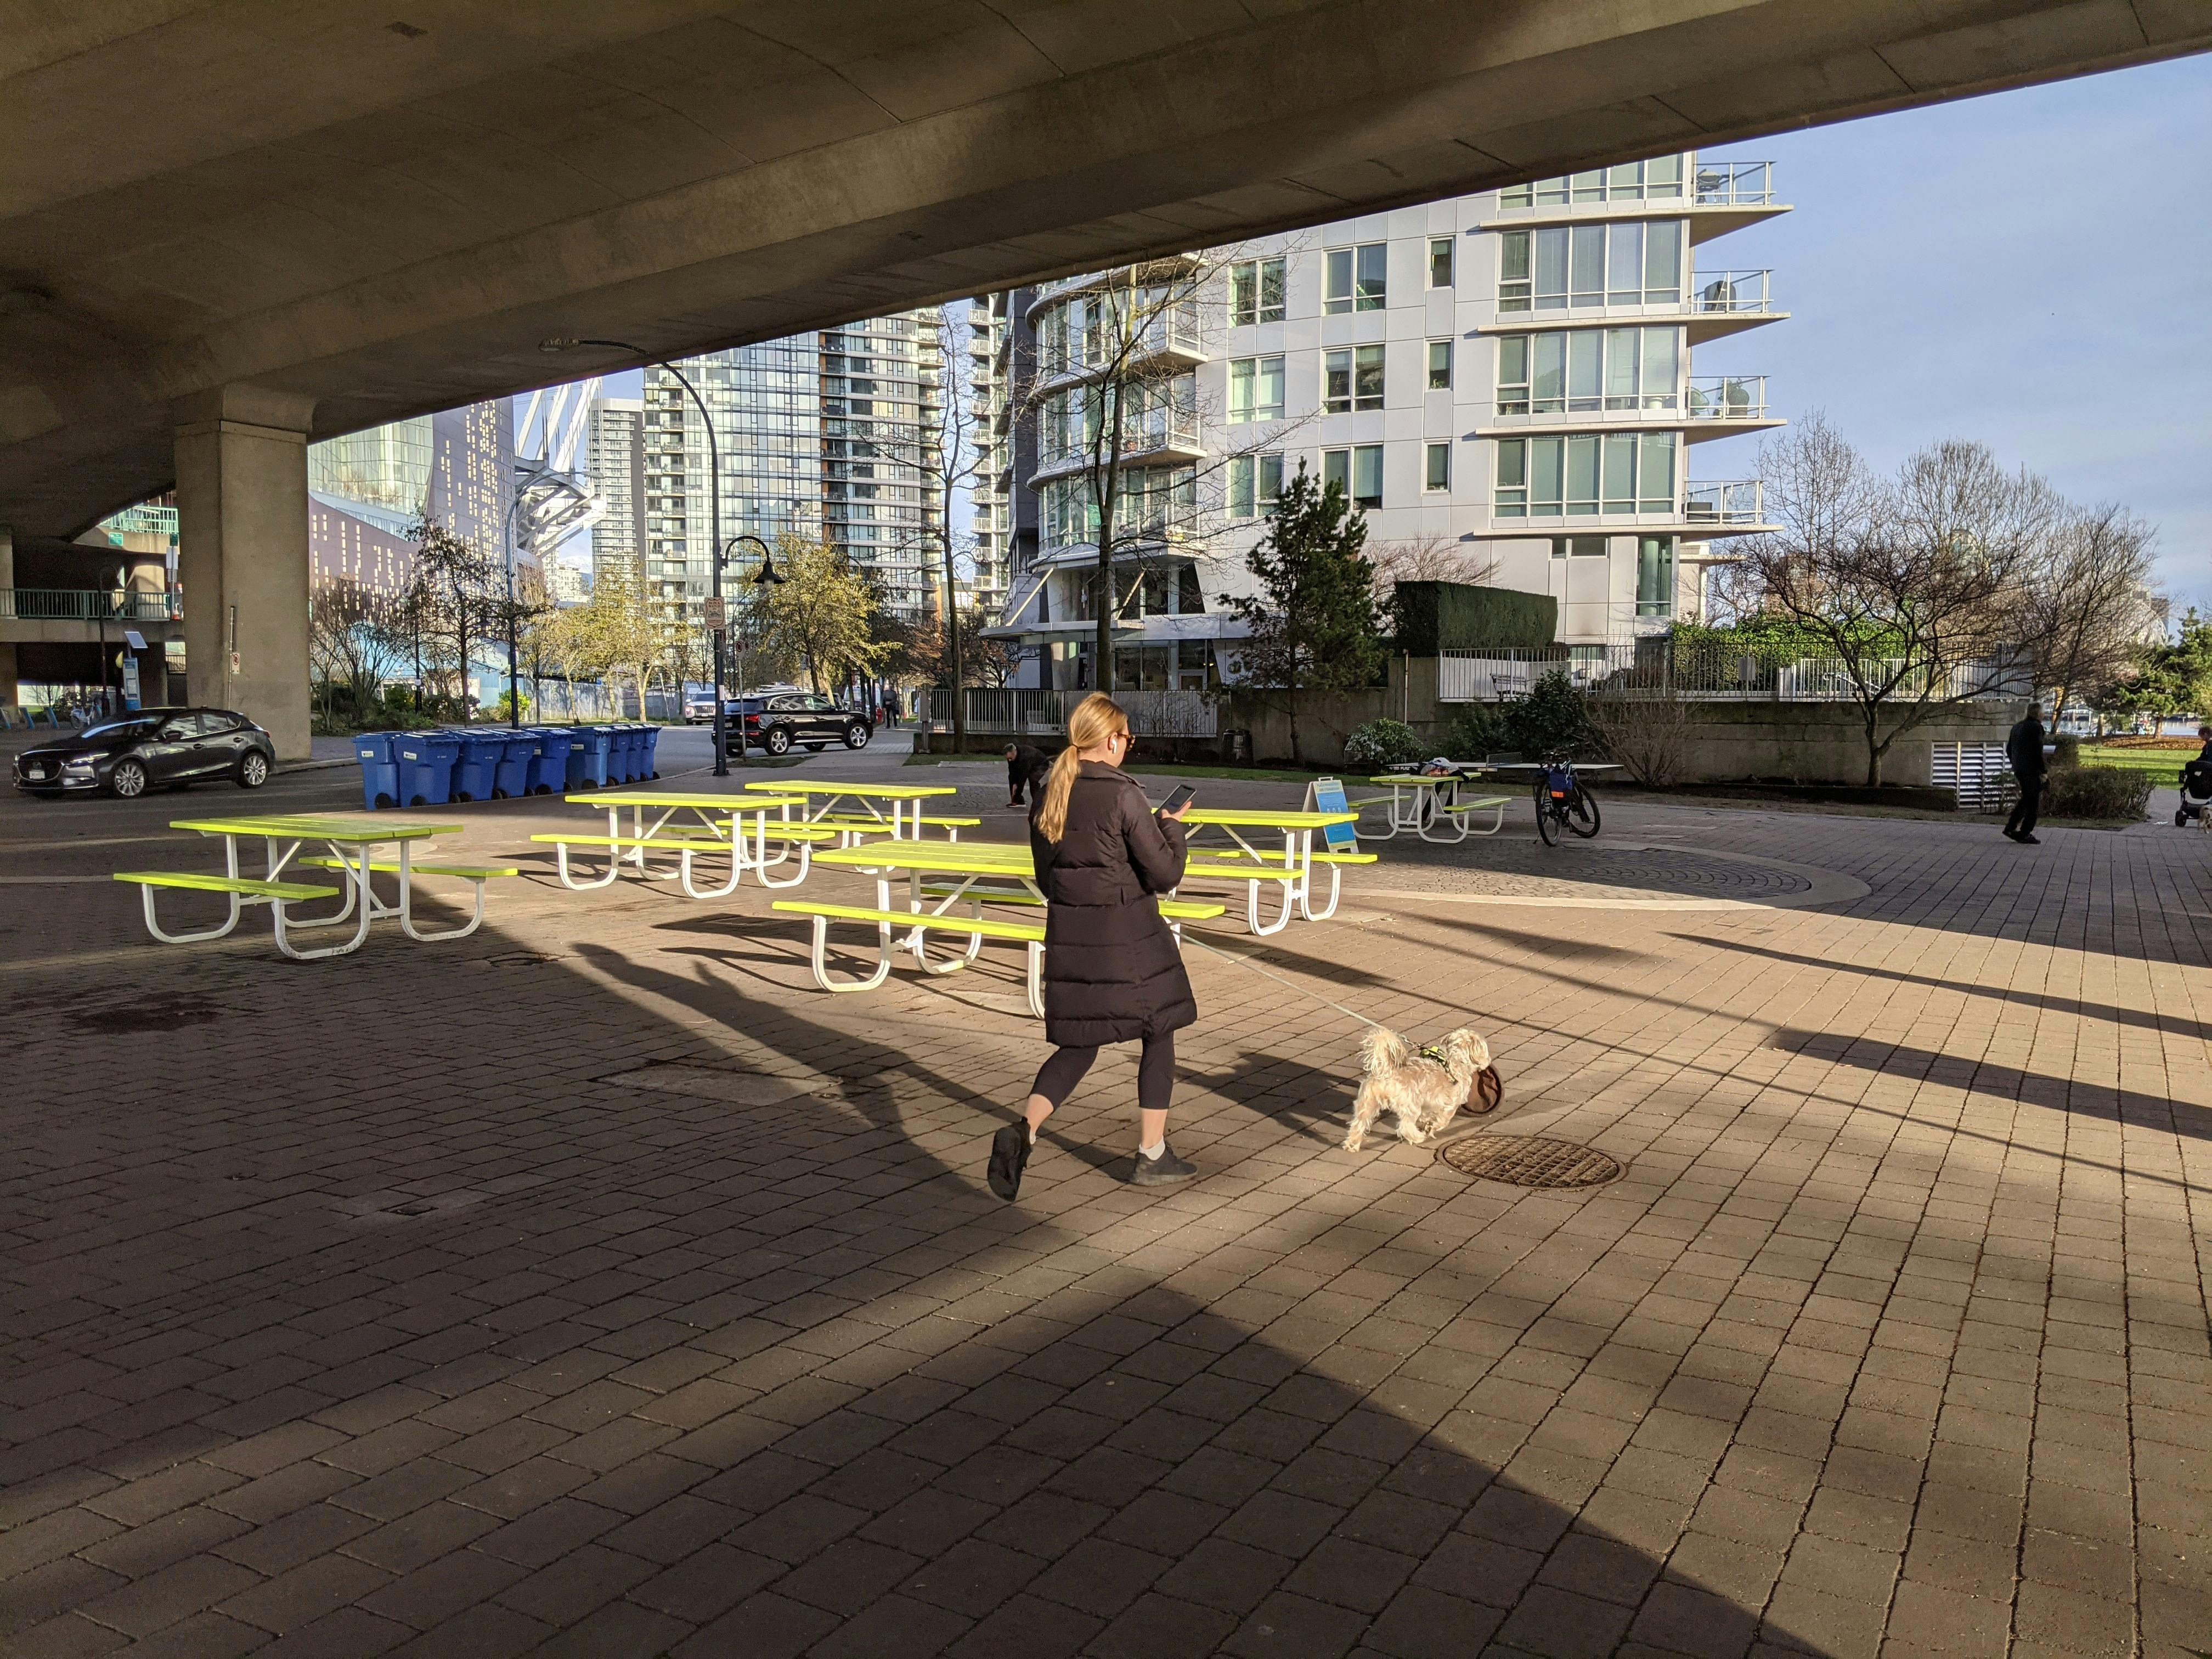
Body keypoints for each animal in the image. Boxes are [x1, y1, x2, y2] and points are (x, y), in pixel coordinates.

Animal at [1327, 1026, 1504, 1159]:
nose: (1489, 1060)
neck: (1454, 1061)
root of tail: (1387, 1072)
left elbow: (1427, 1117)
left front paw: (1426, 1124)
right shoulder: (1450, 1104)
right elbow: (1443, 1119)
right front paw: (1432, 1127)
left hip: (1367, 1104)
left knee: (1359, 1124)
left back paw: (1352, 1144)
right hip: (1411, 1104)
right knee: (1405, 1126)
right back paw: (1417, 1137)